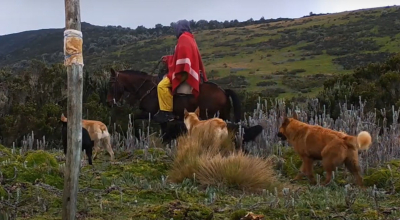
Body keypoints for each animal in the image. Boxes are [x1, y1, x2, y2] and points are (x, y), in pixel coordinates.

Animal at [106, 67, 242, 139]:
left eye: (111, 84)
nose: (109, 103)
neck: (146, 88)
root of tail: (223, 91)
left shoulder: (149, 113)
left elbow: (133, 118)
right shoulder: (162, 119)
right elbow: (164, 132)